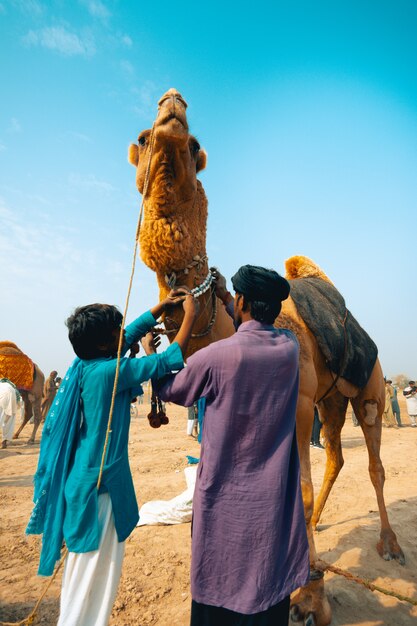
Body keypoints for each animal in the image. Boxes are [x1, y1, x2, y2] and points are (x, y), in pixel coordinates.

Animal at [128, 89, 404, 624]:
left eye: (194, 145)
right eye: (144, 137)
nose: (172, 104)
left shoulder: (296, 403)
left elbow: (300, 490)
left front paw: (308, 600)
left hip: (370, 388)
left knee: (374, 463)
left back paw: (390, 545)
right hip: (329, 400)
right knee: (336, 455)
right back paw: (320, 533)